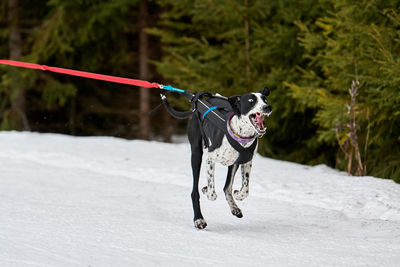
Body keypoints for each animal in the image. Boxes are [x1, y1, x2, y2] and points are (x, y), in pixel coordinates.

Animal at [188, 88, 272, 230]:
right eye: (251, 101)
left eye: (265, 99)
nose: (267, 107)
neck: (242, 136)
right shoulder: (210, 158)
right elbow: (212, 193)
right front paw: (207, 190)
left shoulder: (246, 162)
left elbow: (245, 190)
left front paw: (238, 194)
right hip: (196, 154)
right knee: (195, 192)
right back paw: (199, 219)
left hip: (234, 164)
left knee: (226, 187)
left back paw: (234, 208)